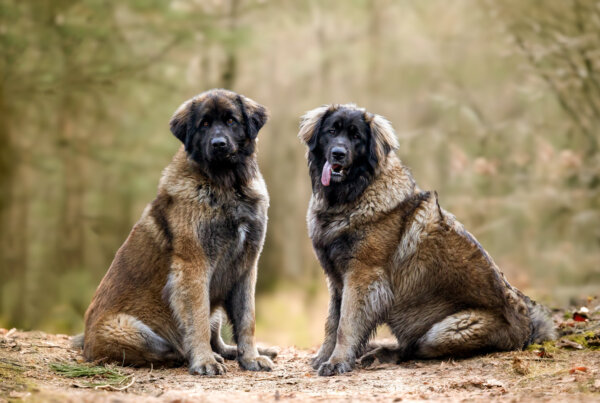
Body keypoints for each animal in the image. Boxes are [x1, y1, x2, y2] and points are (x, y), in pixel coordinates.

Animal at [78, 90, 276, 378]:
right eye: (204, 124)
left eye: (231, 121)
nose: (219, 144)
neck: (227, 186)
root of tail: (85, 344)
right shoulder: (194, 266)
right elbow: (198, 320)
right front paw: (204, 361)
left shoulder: (247, 266)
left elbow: (246, 319)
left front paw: (250, 357)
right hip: (131, 330)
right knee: (169, 348)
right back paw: (194, 355)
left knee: (217, 334)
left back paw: (231, 351)